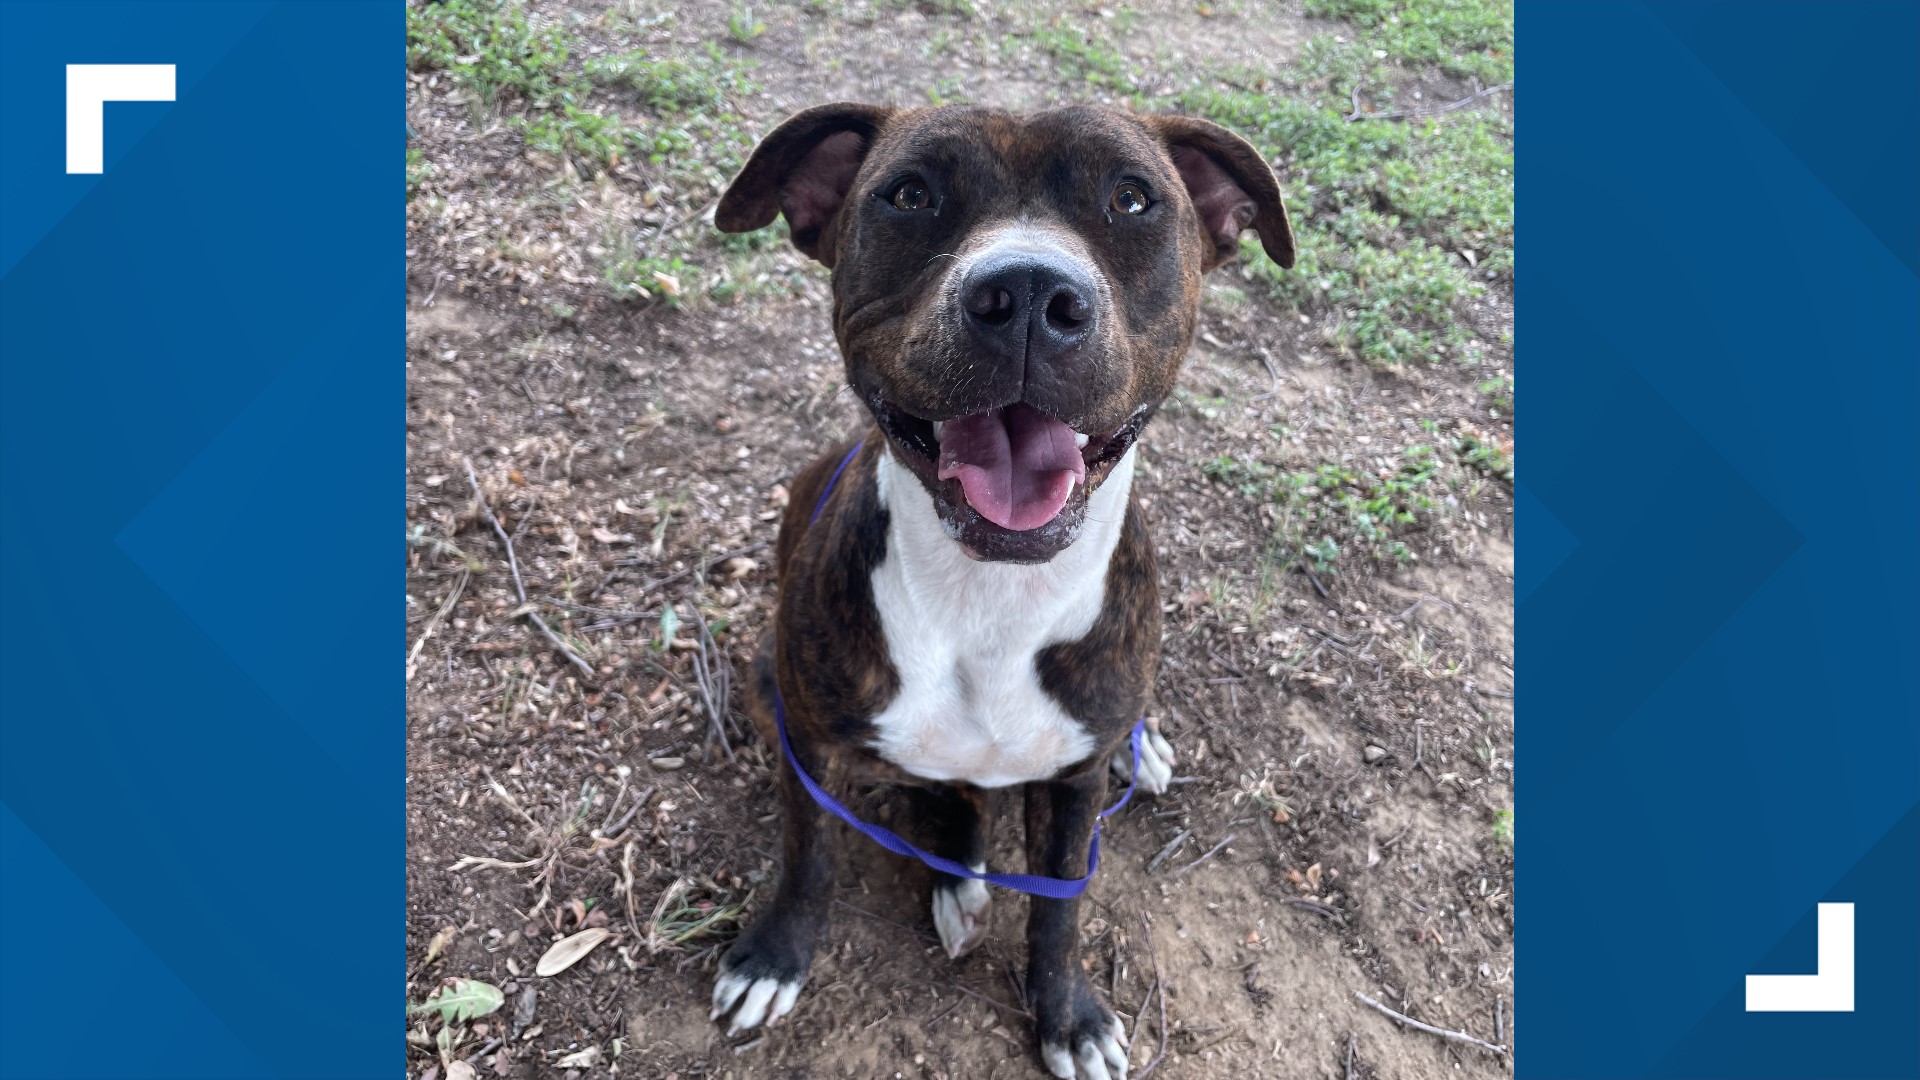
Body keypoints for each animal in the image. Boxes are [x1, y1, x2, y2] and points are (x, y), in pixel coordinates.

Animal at [702, 102, 1290, 1076]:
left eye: (1132, 199)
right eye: (910, 195)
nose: (1026, 295)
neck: (991, 598)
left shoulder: (1075, 791)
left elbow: (1060, 907)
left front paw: (1068, 1015)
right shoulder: (809, 744)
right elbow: (808, 857)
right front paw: (775, 957)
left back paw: (1136, 755)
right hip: (763, 678)